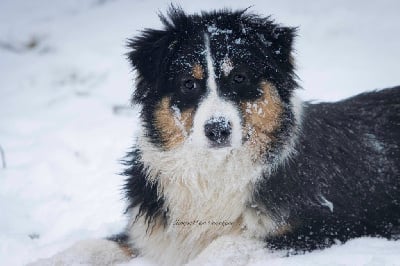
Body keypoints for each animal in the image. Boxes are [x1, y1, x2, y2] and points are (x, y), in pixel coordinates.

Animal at [30, 5, 400, 266]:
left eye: (239, 78)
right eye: (188, 84)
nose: (218, 129)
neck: (212, 172)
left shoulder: (325, 228)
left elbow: (227, 243)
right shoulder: (149, 232)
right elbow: (90, 246)